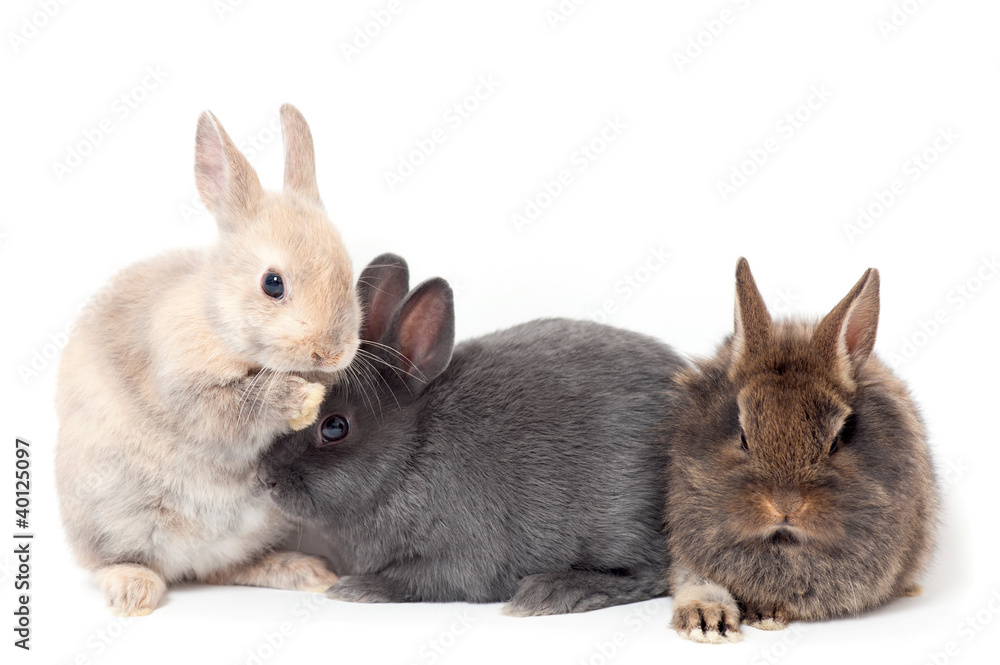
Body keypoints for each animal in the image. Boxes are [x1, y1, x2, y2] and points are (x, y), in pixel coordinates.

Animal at [55, 104, 361, 616]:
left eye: (350, 274)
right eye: (272, 283)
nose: (330, 351)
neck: (219, 321)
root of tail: (185, 563)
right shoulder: (190, 394)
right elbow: (235, 410)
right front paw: (303, 399)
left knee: (223, 569)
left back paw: (303, 572)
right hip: (109, 515)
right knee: (111, 562)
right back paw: (134, 592)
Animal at [258, 253, 687, 616]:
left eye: (335, 426)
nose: (266, 478)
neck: (411, 454)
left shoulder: (460, 557)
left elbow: (424, 581)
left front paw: (356, 589)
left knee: (653, 572)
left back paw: (550, 592)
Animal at [664, 258, 938, 643]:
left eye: (836, 440)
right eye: (743, 437)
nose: (785, 505)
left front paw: (766, 614)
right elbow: (695, 581)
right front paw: (707, 622)